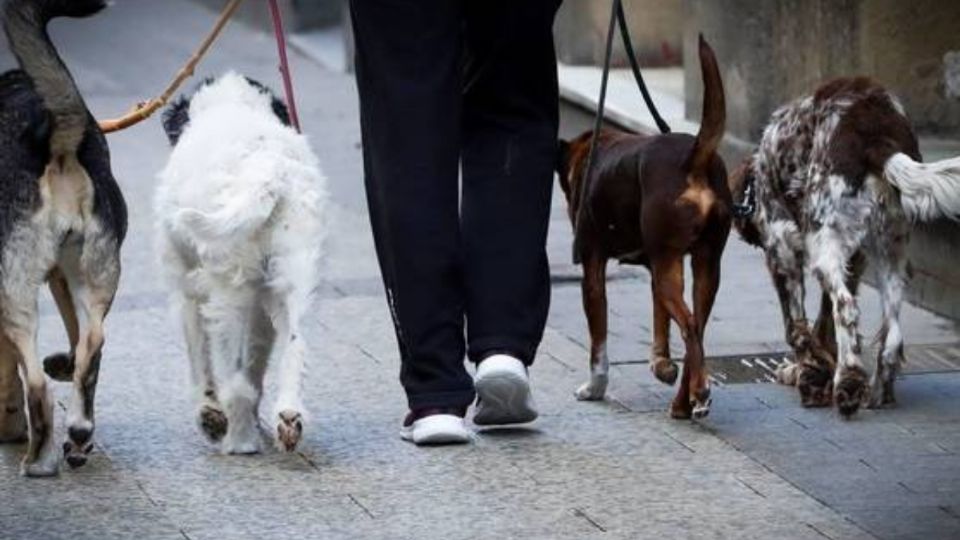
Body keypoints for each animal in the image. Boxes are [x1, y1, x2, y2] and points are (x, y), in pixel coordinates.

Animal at [155, 71, 326, 452]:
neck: (233, 103)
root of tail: (266, 171)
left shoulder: (189, 293)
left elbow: (201, 361)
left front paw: (210, 413)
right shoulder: (261, 300)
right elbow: (257, 361)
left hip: (226, 292)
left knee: (233, 381)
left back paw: (239, 440)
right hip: (291, 276)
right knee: (296, 345)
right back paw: (288, 418)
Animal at [552, 37, 732, 418]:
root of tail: (694, 159)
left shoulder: (593, 267)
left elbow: (599, 343)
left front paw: (595, 387)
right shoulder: (653, 268)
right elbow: (660, 323)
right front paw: (661, 365)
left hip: (670, 263)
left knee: (690, 325)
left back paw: (698, 392)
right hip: (704, 264)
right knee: (697, 328)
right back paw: (685, 402)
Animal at [732, 76, 956, 416]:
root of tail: (876, 134)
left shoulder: (782, 251)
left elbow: (798, 328)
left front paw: (808, 377)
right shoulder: (854, 258)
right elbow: (822, 326)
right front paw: (816, 372)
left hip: (824, 246)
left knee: (847, 308)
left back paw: (848, 382)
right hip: (890, 252)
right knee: (892, 335)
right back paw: (877, 393)